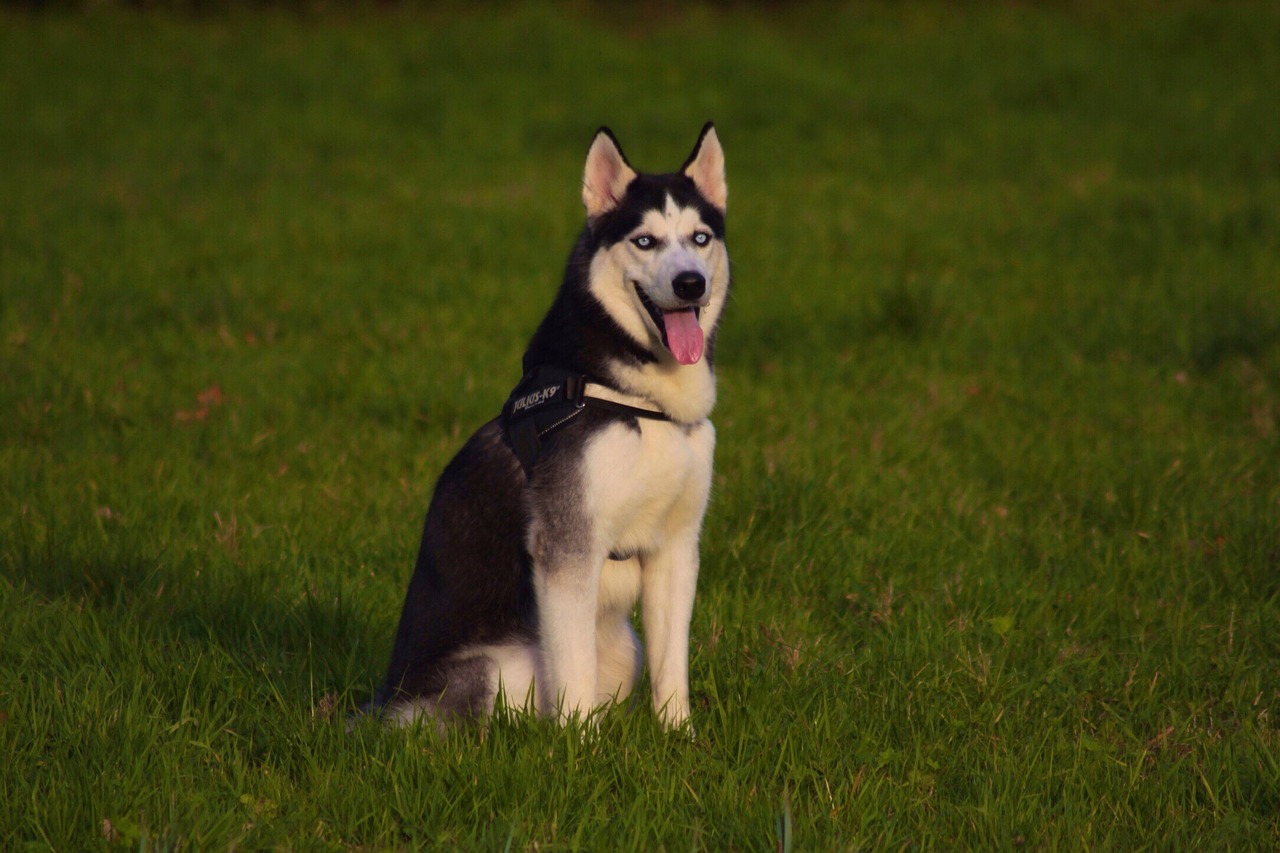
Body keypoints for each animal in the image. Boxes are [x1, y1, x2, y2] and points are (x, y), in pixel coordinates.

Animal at [371, 122, 732, 727]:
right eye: (645, 241)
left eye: (700, 238)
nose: (690, 283)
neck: (638, 401)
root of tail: (379, 703)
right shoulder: (567, 549)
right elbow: (574, 677)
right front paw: (579, 746)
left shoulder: (677, 547)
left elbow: (672, 671)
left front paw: (679, 736)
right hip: (493, 669)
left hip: (625, 648)